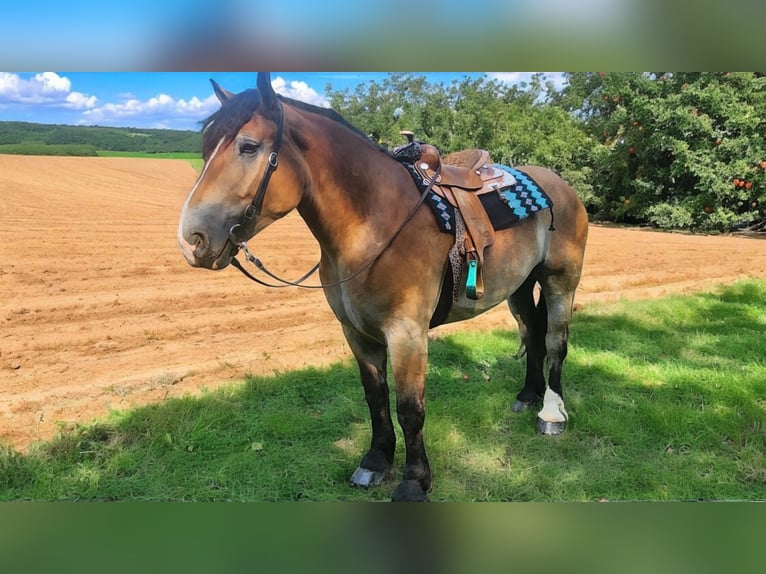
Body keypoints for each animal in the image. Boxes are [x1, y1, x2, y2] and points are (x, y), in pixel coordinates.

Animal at [177, 73, 592, 504]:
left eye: (248, 146)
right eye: (206, 149)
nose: (191, 240)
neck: (375, 224)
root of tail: (559, 185)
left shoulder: (406, 334)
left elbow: (410, 409)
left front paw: (414, 482)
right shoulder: (357, 333)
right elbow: (375, 397)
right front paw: (375, 461)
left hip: (561, 282)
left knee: (555, 343)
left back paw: (551, 414)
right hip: (519, 287)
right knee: (532, 331)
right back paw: (527, 396)